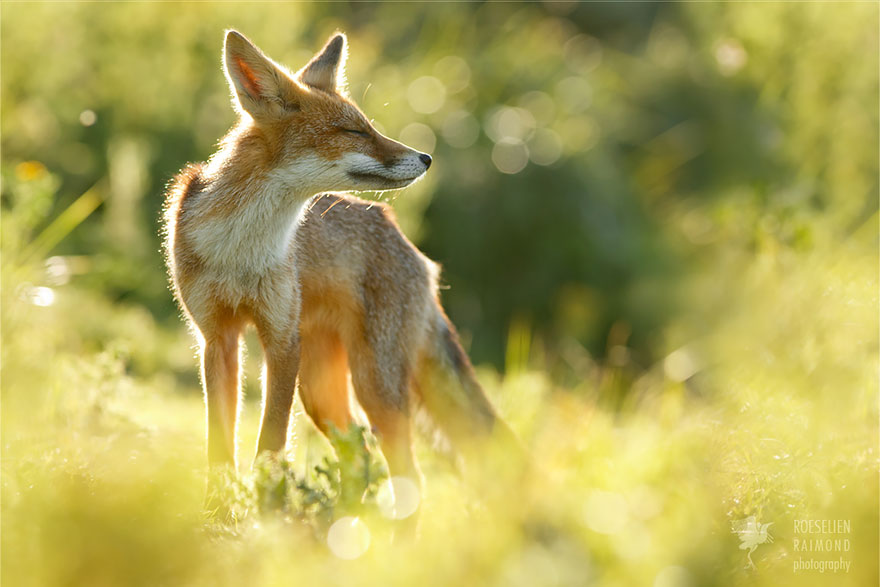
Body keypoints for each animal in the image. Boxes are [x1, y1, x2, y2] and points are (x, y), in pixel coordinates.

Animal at [162, 29, 512, 494]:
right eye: (354, 131)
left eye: (369, 127)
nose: (427, 158)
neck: (240, 250)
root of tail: (410, 246)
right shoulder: (216, 337)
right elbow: (218, 450)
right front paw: (219, 504)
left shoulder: (281, 340)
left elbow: (270, 444)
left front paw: (265, 504)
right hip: (321, 390)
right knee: (359, 455)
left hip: (372, 382)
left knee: (407, 472)